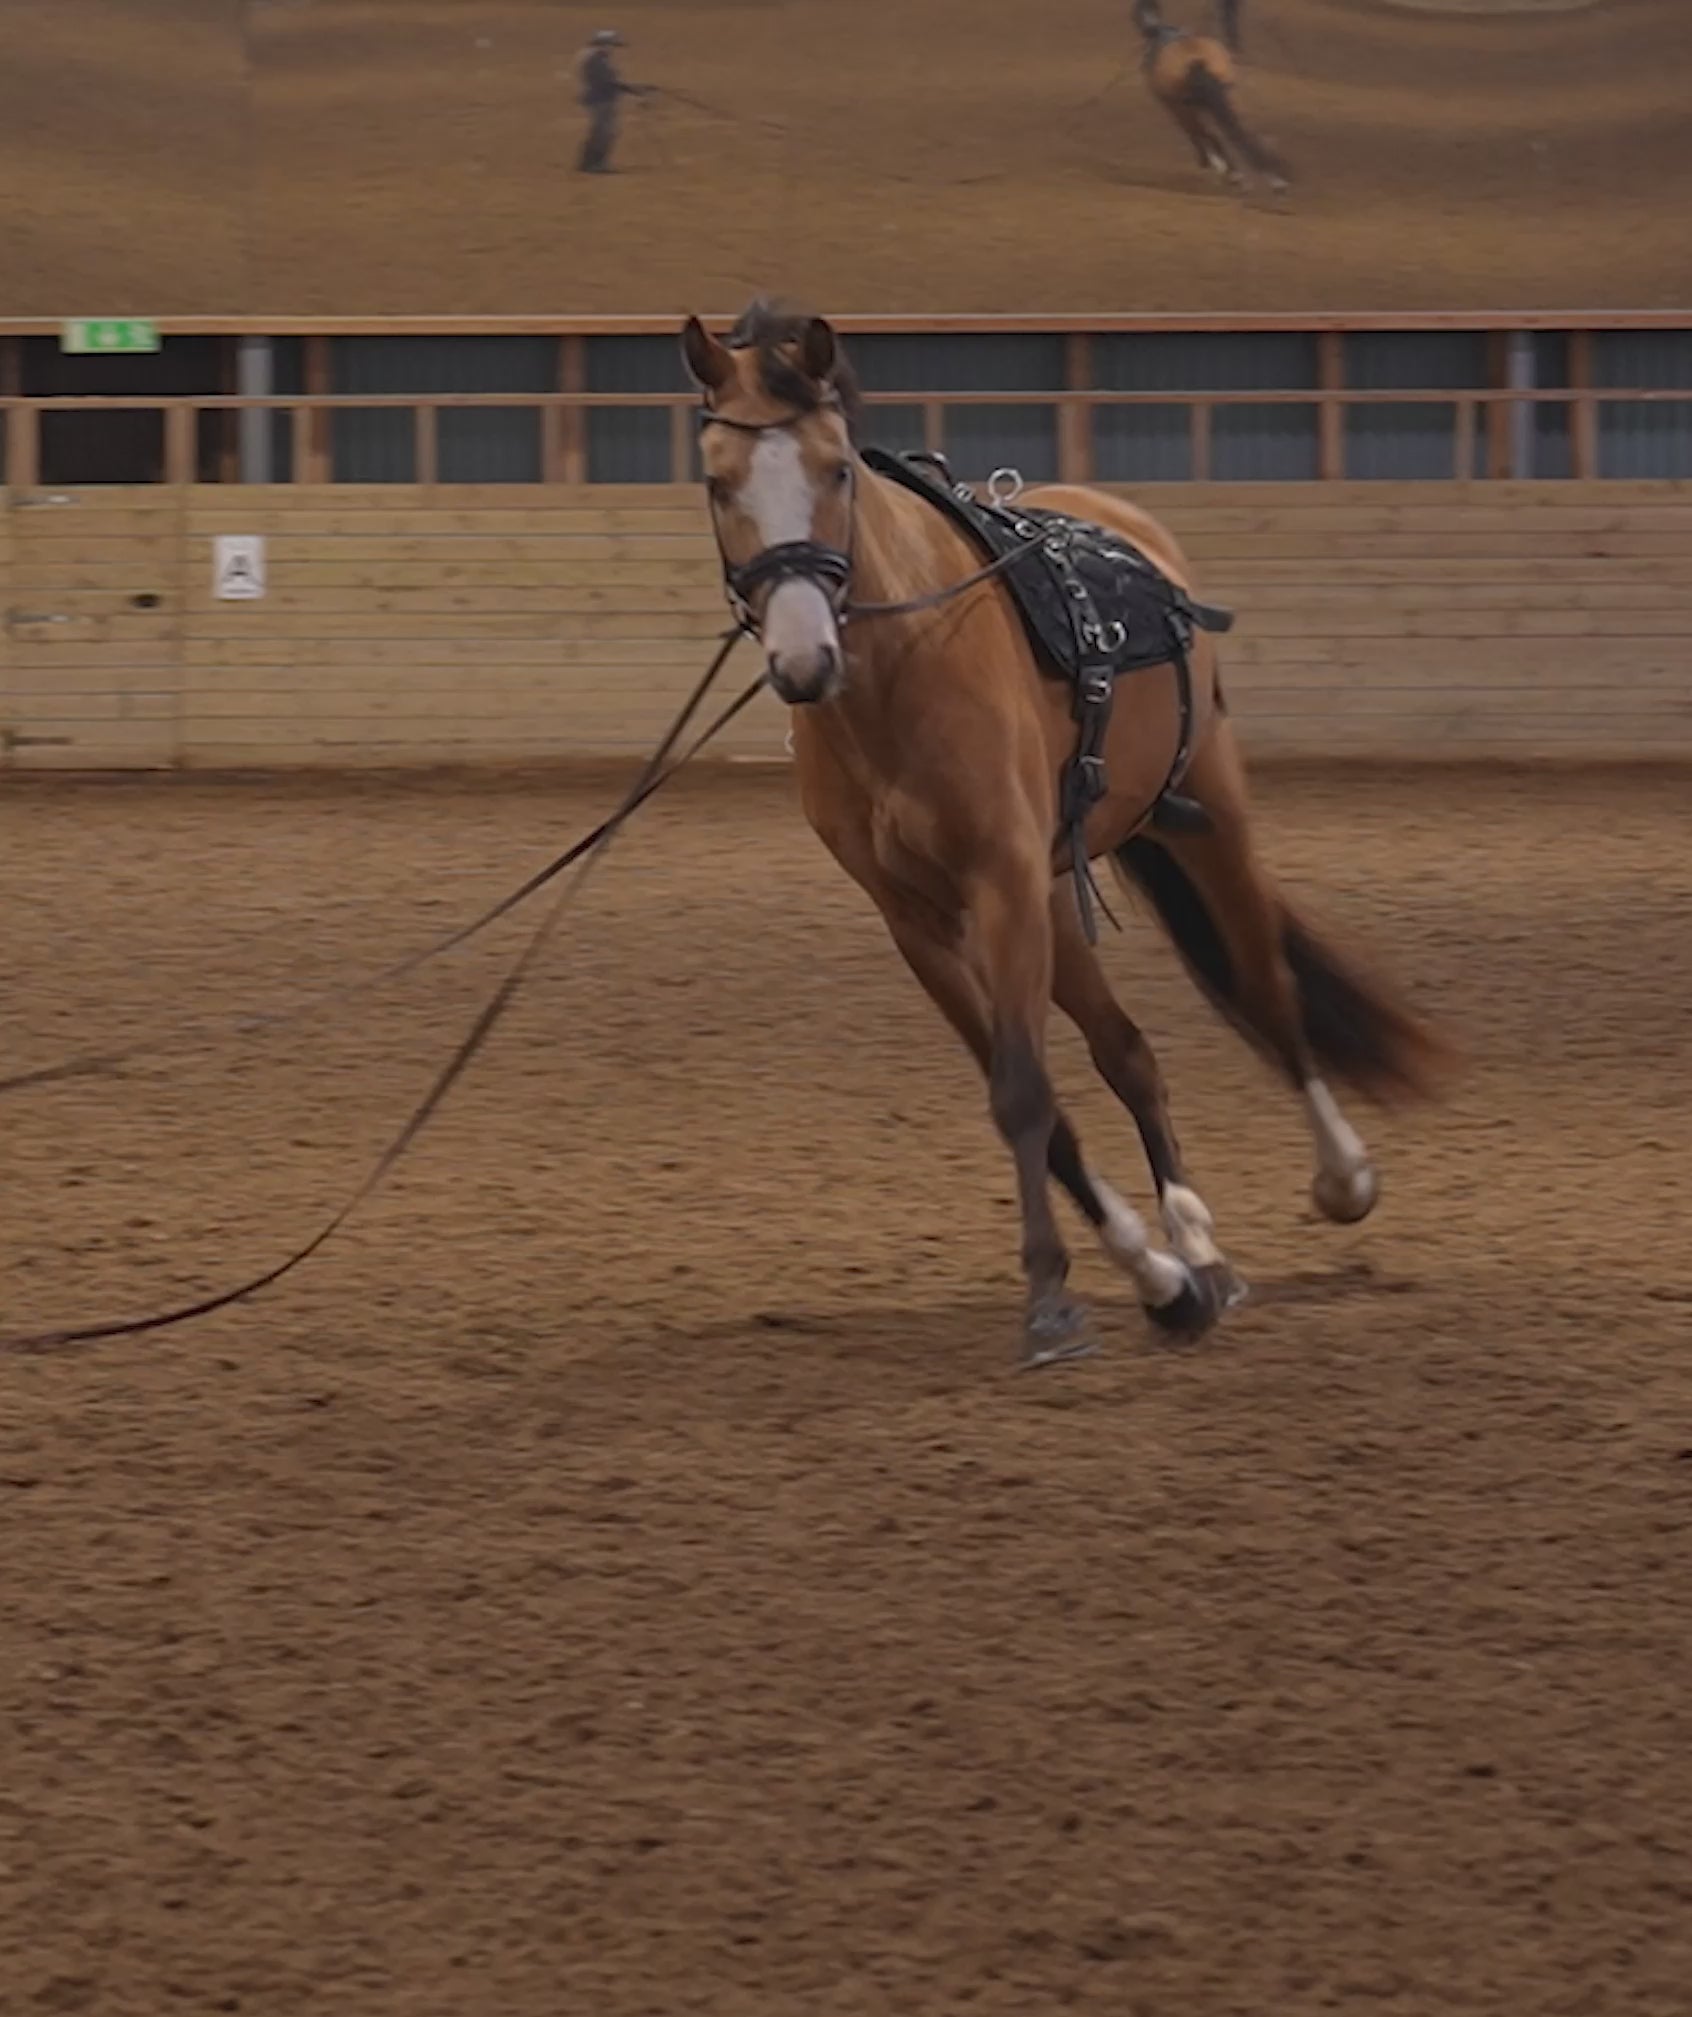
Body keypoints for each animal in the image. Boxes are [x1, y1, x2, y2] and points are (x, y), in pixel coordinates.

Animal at [683, 302, 1442, 1367]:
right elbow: (1035, 1096)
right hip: (1053, 895)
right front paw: (1156, 1277)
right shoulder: (920, 920)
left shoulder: (1000, 886)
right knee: (1129, 1051)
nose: (803, 660)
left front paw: (1050, 1298)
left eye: (835, 470)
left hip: (1208, 826)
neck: (899, 671)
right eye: (719, 480)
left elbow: (1022, 1092)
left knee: (1266, 990)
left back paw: (1341, 1177)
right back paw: (1197, 1251)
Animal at [1133, 0, 1287, 194]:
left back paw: (1232, 173)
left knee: (1209, 134)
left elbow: (1199, 135)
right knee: (1242, 133)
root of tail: (1195, 60)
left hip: (1186, 108)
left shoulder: (1177, 108)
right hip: (1228, 97)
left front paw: (1214, 164)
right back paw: (1270, 176)